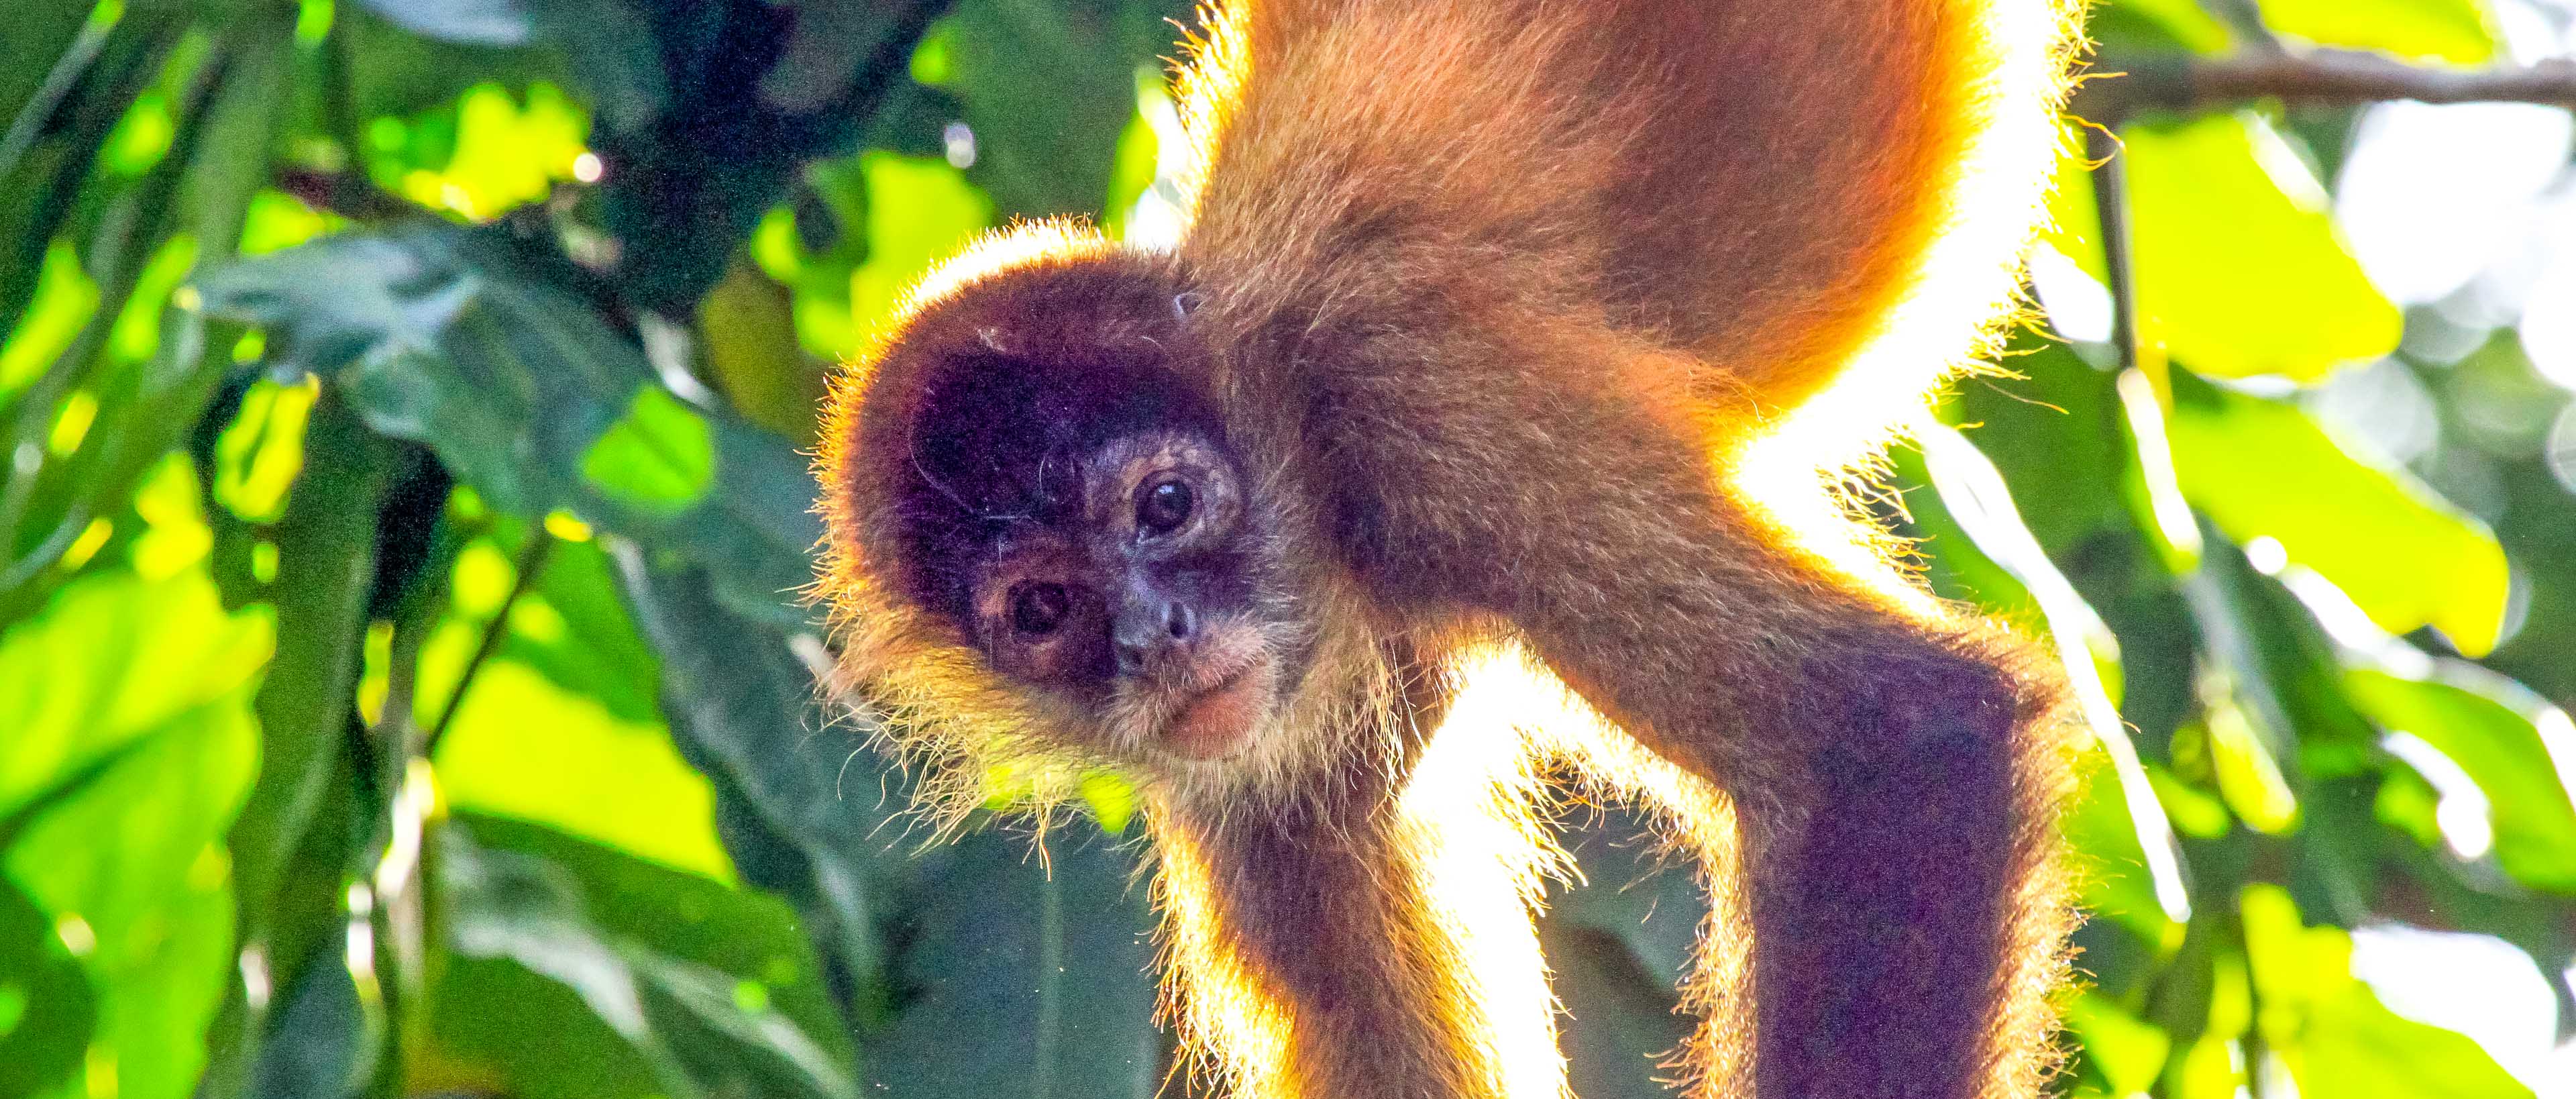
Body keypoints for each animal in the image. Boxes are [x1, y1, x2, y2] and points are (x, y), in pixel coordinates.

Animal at [813, 0, 2088, 1095]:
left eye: (1165, 505)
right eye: (1044, 609)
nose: (1154, 637)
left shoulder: (1417, 397)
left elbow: (1895, 736)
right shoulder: (1246, 773)